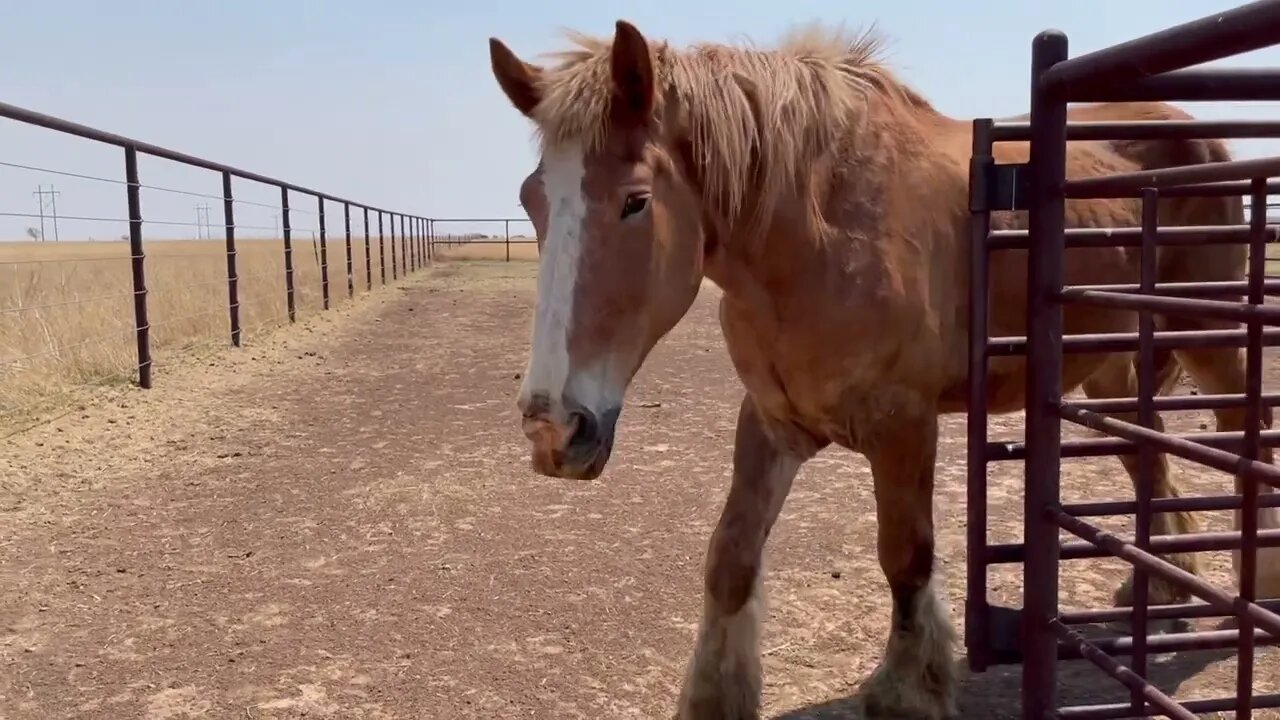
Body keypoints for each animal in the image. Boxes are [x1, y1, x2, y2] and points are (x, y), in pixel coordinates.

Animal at [483, 20, 1274, 717]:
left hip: (1207, 337)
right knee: (1143, 450)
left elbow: (905, 556)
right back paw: (1165, 587)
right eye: (530, 199)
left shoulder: (903, 426)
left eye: (636, 201)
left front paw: (908, 688)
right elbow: (730, 556)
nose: (554, 430)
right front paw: (714, 695)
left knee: (1244, 428)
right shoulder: (771, 420)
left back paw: (1253, 583)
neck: (816, 229)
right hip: (1108, 368)